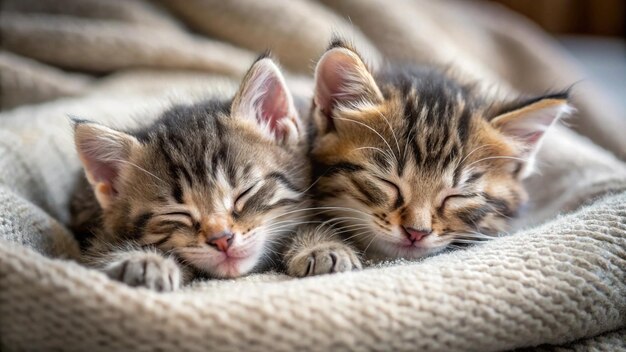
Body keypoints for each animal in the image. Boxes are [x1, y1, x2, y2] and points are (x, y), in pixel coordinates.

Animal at [70, 56, 344, 290]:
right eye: (177, 213)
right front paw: (144, 261)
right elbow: (102, 250)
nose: (222, 239)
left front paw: (319, 246)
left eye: (245, 192)